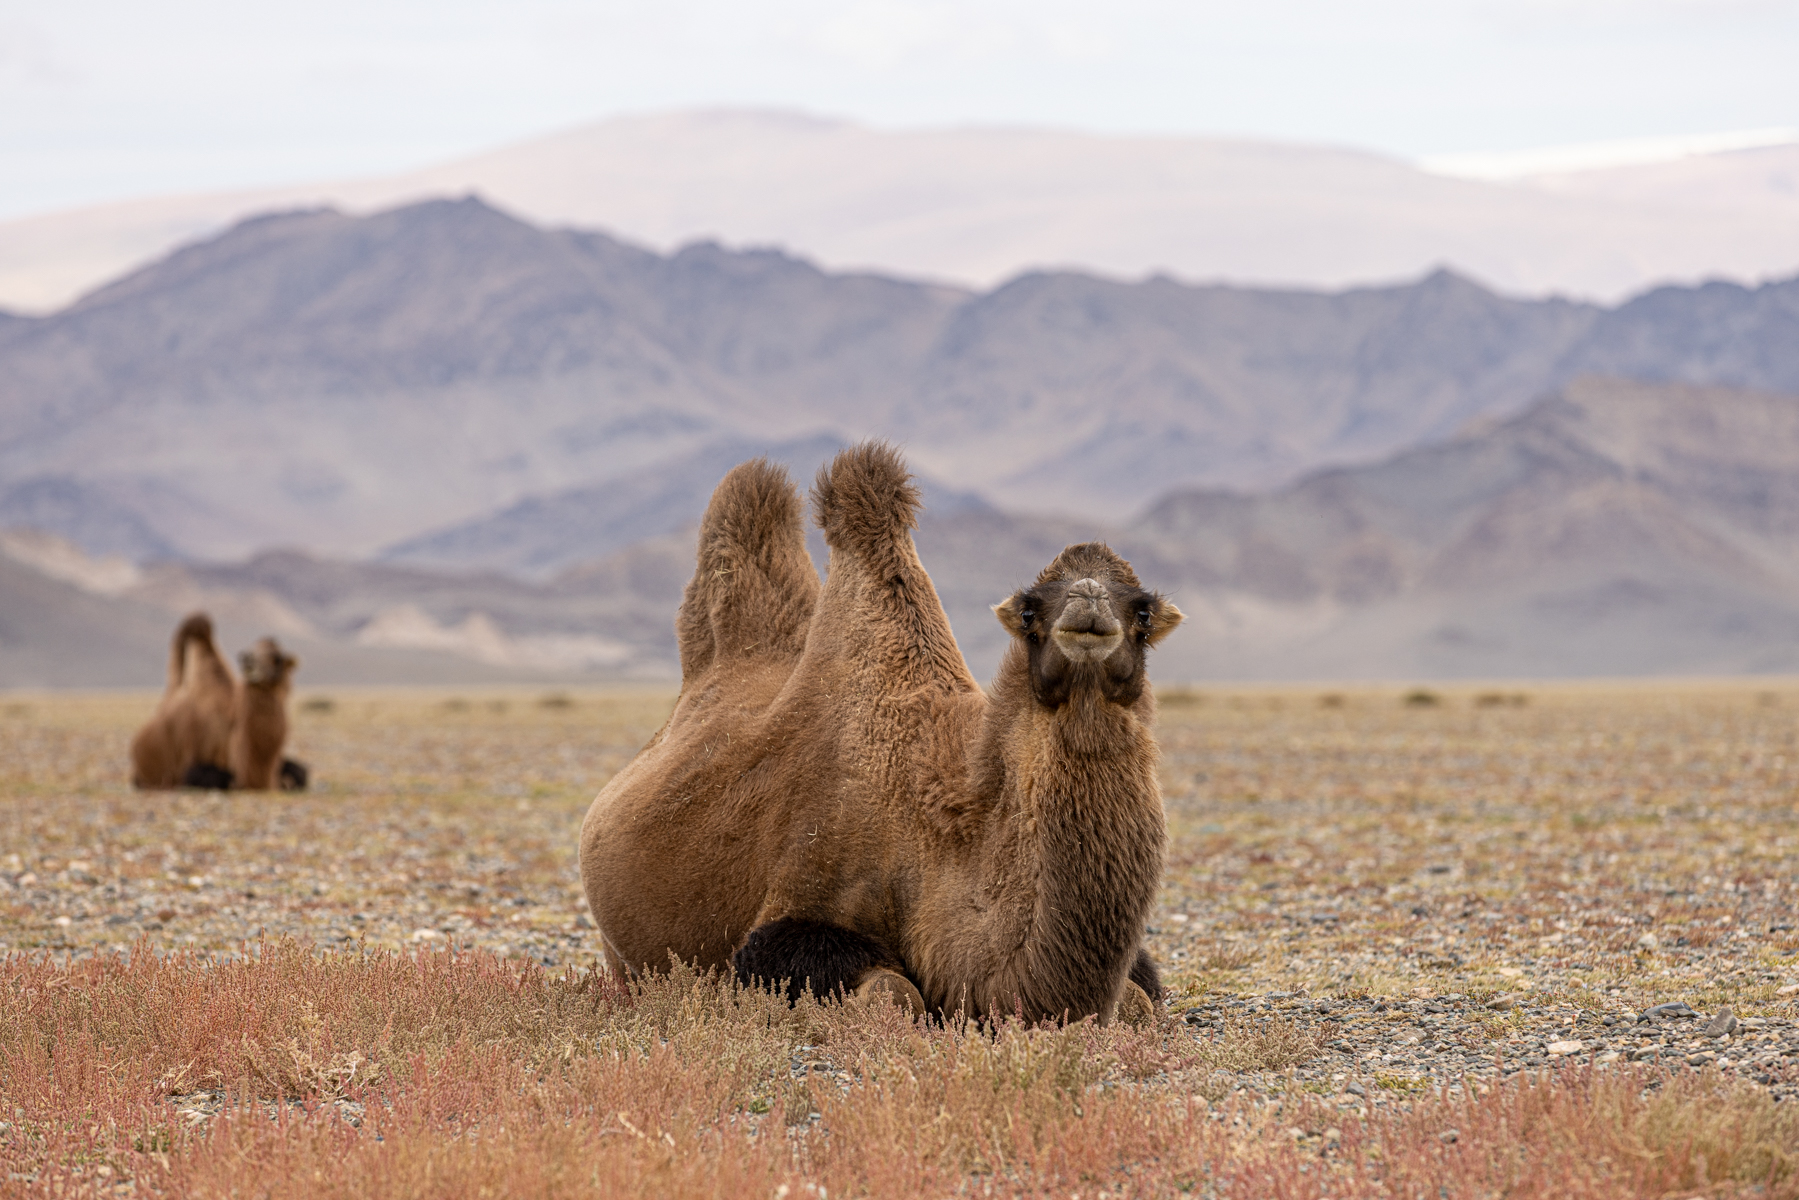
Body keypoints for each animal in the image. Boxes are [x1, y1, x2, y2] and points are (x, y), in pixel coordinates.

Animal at [579, 443, 1183, 1025]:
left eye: (1143, 611)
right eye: (1031, 609)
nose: (1089, 600)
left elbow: (1140, 1000)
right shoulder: (792, 910)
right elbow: (896, 994)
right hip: (622, 953)